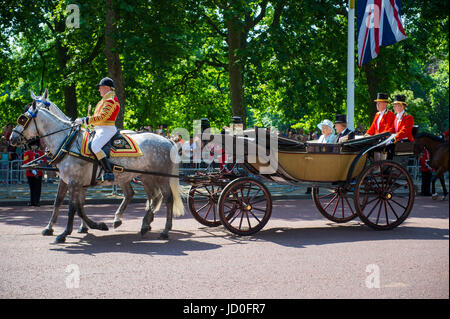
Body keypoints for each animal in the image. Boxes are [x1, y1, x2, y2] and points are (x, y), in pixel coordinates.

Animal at [9, 91, 184, 244]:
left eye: (22, 119)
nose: (12, 138)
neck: (67, 142)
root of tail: (167, 140)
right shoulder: (68, 181)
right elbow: (63, 203)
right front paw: (54, 227)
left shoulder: (75, 182)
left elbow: (73, 207)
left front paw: (66, 232)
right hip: (144, 176)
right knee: (150, 196)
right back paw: (141, 223)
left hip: (160, 177)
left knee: (167, 198)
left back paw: (164, 230)